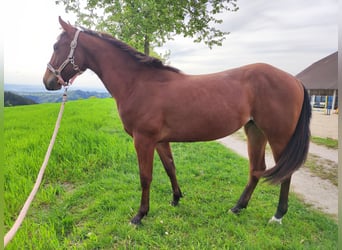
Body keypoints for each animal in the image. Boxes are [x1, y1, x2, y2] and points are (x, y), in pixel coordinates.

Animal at [43, 17, 312, 225]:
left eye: (56, 46)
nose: (48, 81)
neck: (139, 83)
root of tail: (294, 80)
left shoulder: (143, 140)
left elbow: (145, 176)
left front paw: (140, 215)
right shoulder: (160, 141)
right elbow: (170, 167)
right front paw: (176, 198)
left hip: (278, 136)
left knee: (285, 172)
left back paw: (278, 215)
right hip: (255, 131)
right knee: (256, 169)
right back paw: (237, 207)